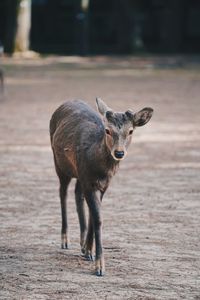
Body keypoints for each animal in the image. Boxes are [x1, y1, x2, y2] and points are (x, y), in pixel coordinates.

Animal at [49, 98, 153, 276]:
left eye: (131, 131)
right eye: (107, 130)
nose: (119, 153)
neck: (101, 170)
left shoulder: (102, 185)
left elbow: (93, 215)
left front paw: (88, 251)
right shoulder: (89, 182)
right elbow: (98, 218)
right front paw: (99, 266)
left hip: (79, 174)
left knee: (77, 194)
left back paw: (82, 243)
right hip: (59, 163)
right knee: (63, 193)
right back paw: (65, 240)